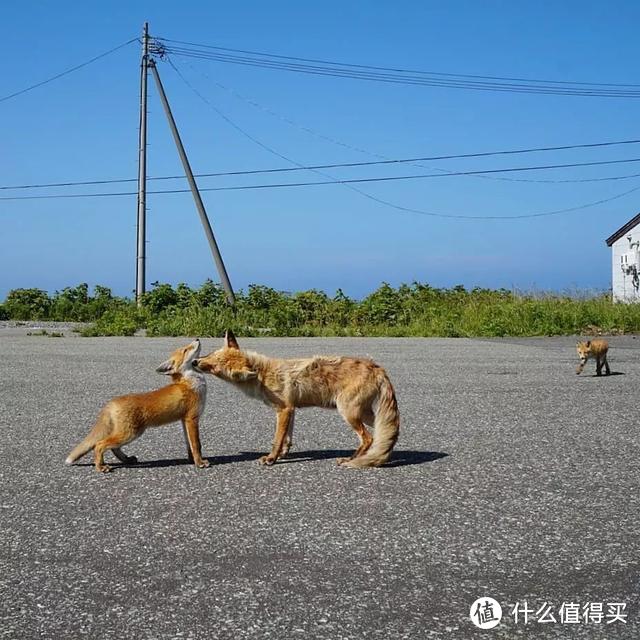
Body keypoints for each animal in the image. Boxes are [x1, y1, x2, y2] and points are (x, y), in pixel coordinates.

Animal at [64, 340, 208, 470]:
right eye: (185, 350)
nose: (197, 338)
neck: (190, 382)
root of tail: (112, 402)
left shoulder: (184, 420)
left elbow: (189, 445)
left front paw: (191, 460)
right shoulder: (192, 418)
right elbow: (197, 444)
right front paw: (199, 463)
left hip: (128, 433)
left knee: (113, 448)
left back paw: (126, 460)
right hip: (131, 433)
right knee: (99, 445)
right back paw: (100, 467)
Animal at [194, 332, 400, 468]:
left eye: (214, 368)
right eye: (210, 355)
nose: (195, 362)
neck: (263, 374)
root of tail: (377, 368)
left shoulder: (283, 409)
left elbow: (277, 439)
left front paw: (271, 459)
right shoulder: (290, 409)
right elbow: (287, 439)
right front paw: (283, 455)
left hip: (349, 413)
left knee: (368, 438)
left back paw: (351, 460)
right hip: (366, 415)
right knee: (387, 433)